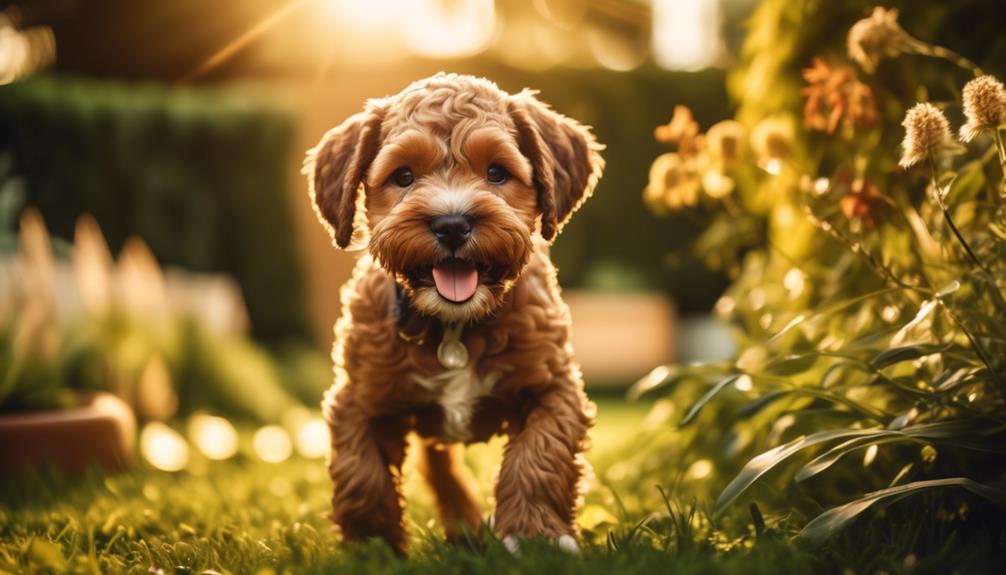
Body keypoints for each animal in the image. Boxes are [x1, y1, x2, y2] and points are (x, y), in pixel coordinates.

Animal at [303, 71, 603, 550]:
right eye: (404, 175)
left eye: (496, 172)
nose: (451, 224)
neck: (454, 327)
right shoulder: (358, 399)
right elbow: (362, 474)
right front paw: (371, 548)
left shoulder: (554, 388)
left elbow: (539, 456)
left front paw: (536, 537)